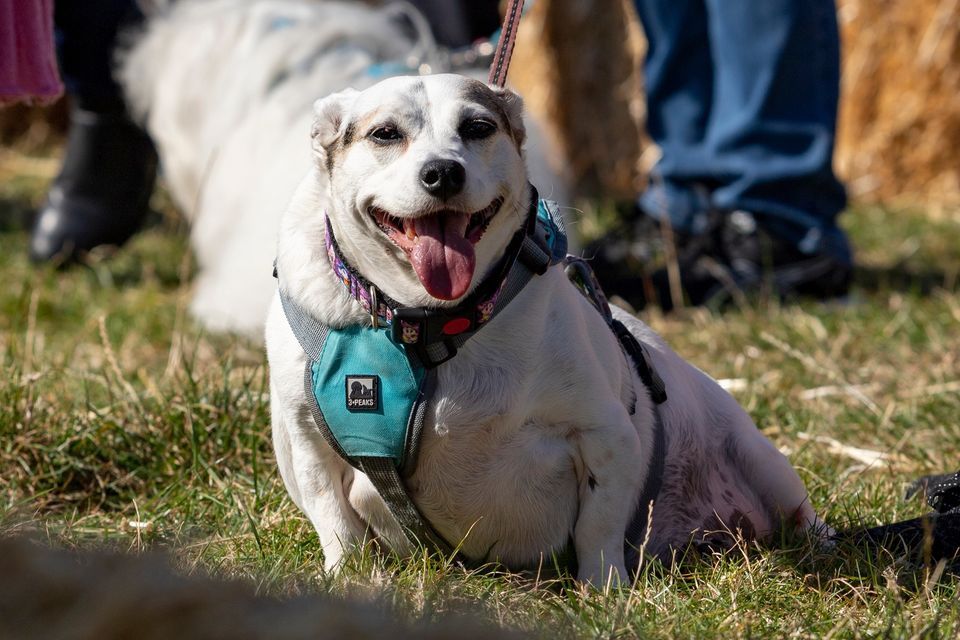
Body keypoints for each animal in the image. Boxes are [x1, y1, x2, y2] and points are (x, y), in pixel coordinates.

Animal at [262, 75, 824, 584]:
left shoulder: (606, 433)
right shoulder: (309, 443)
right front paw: (347, 577)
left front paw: (604, 590)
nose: (443, 172)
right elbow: (335, 518)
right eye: (384, 133)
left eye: (478, 127)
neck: (431, 324)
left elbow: (598, 526)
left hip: (760, 460)